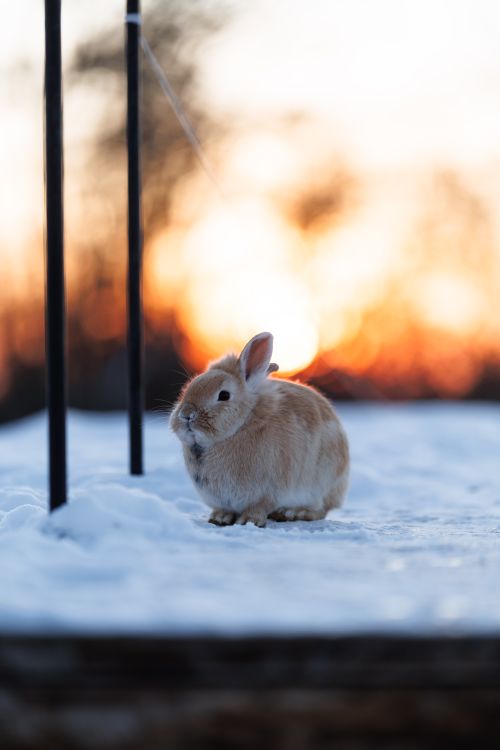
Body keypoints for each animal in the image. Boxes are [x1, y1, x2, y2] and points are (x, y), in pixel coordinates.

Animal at [170, 332, 349, 527]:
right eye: (189, 388)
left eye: (224, 395)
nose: (186, 415)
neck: (241, 425)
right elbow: (224, 509)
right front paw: (219, 518)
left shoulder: (268, 492)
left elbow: (259, 507)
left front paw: (248, 521)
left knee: (320, 511)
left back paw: (292, 513)